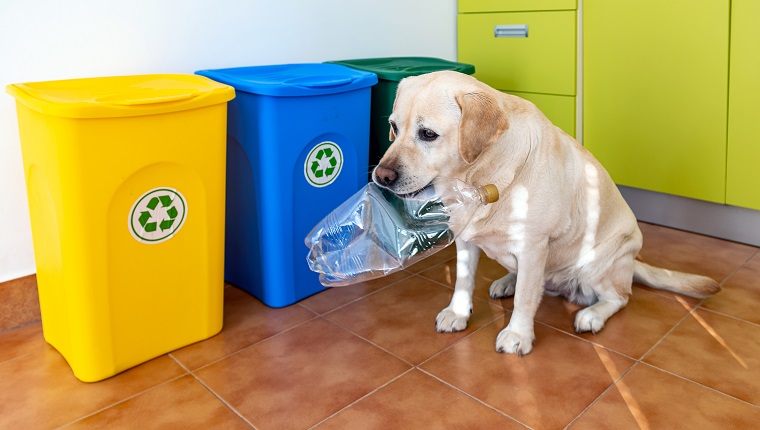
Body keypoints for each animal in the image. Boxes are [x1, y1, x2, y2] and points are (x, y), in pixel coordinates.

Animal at [372, 71, 720, 356]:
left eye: (428, 134)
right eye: (393, 127)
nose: (381, 176)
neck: (480, 180)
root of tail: (633, 262)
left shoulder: (533, 246)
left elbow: (526, 299)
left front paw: (517, 335)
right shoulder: (466, 240)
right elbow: (463, 281)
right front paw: (458, 313)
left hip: (597, 264)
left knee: (620, 297)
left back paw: (591, 315)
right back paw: (507, 281)